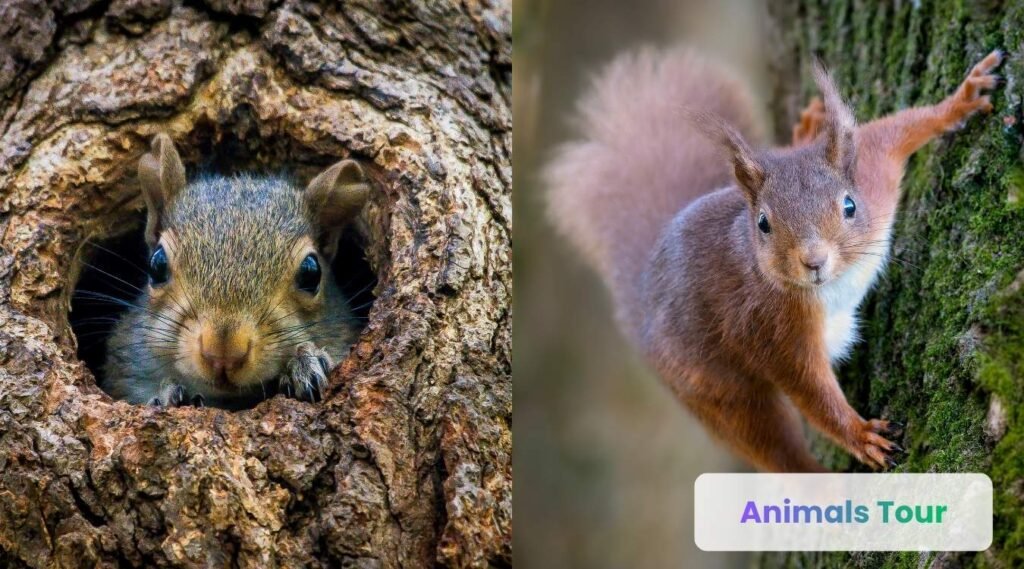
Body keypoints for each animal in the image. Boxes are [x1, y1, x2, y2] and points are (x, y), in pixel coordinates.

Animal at [546, 47, 1002, 472]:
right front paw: (860, 436)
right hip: (718, 393)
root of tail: (643, 298)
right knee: (777, 450)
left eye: (850, 205)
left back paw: (803, 132)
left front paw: (962, 99)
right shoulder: (768, 327)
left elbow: (898, 128)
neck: (836, 282)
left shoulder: (875, 172)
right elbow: (810, 390)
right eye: (763, 224)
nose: (814, 261)